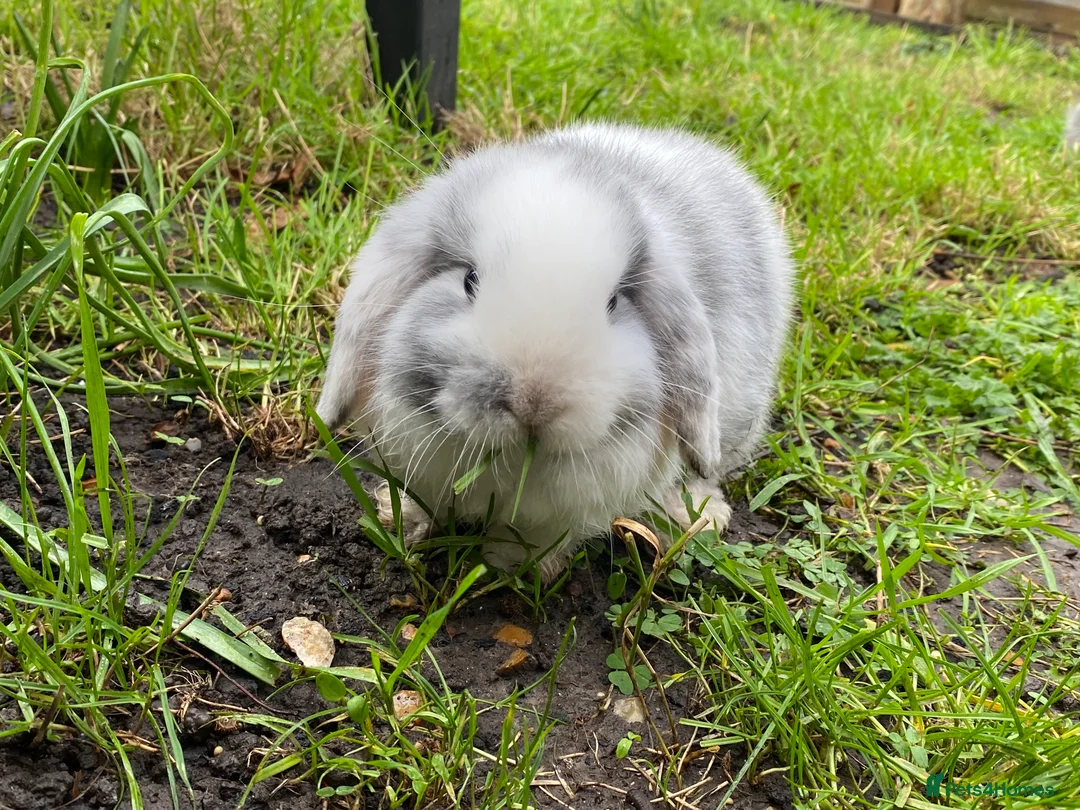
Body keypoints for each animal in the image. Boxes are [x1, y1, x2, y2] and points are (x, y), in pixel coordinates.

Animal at [316, 122, 795, 582]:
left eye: (613, 302)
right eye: (469, 279)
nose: (534, 401)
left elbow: (530, 536)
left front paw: (513, 569)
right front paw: (400, 520)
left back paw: (695, 515)